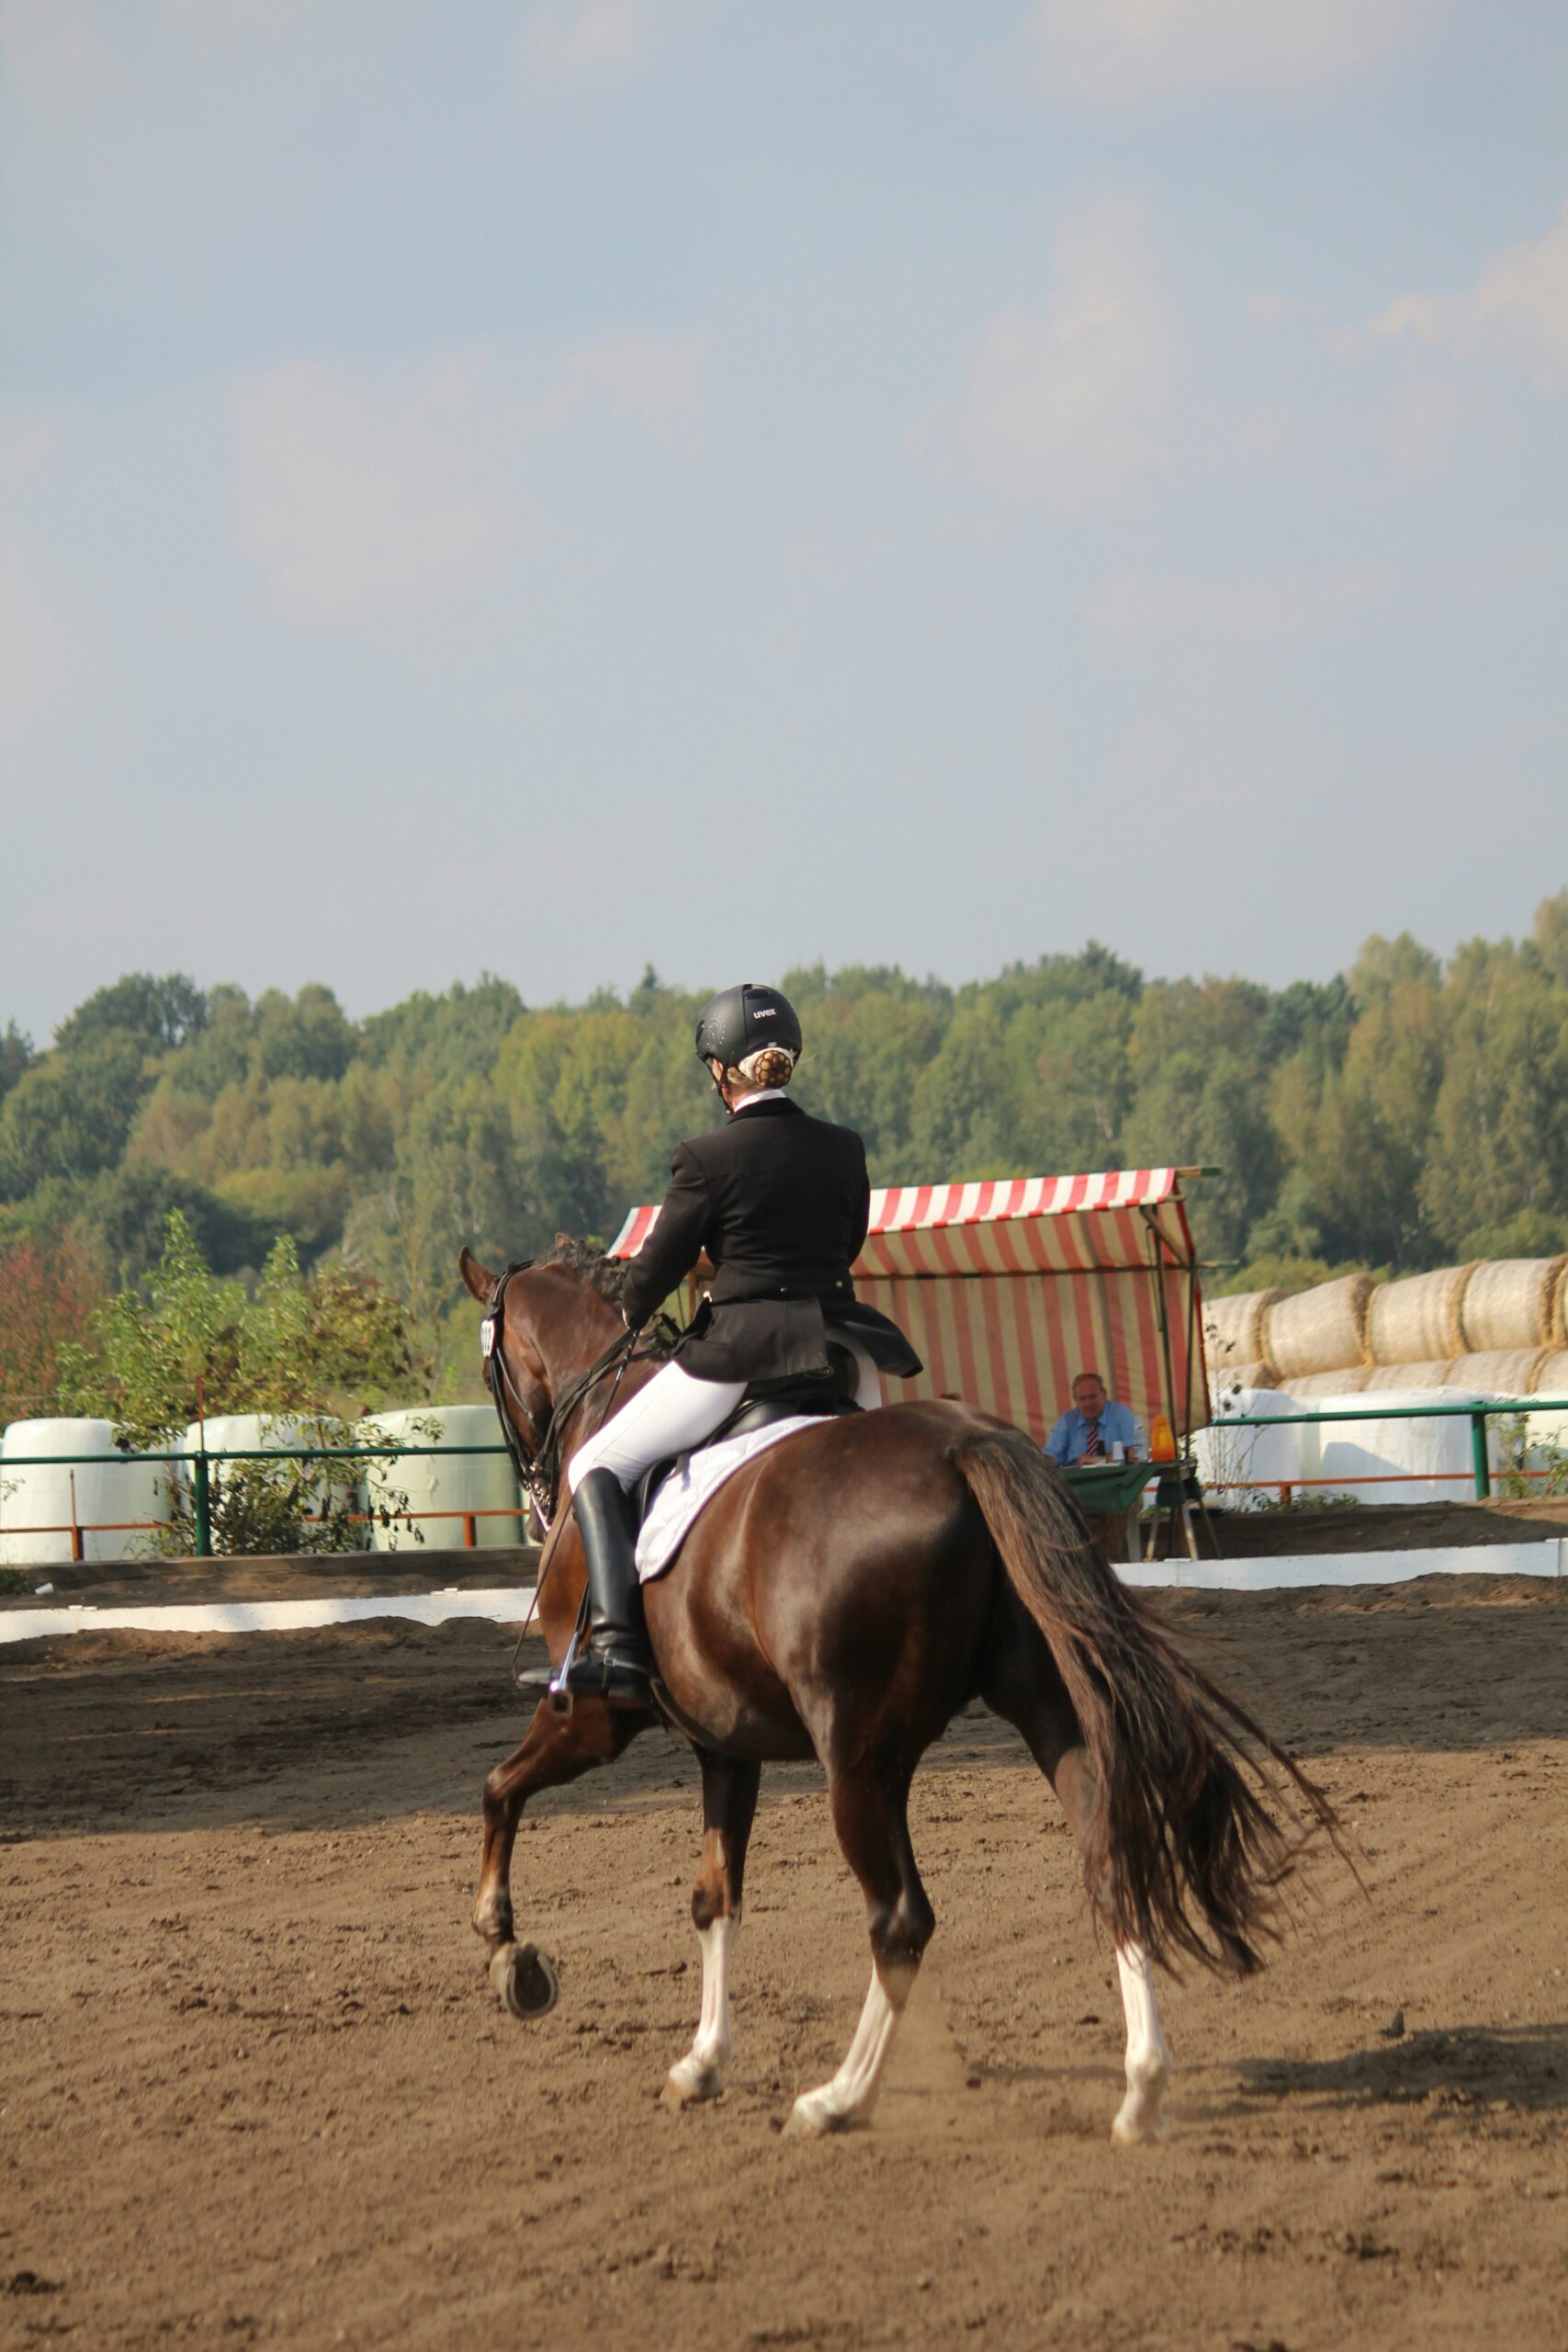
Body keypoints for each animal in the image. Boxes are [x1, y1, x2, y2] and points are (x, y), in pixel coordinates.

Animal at [460, 1241, 1335, 2144]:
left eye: (487, 1364)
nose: (536, 1501)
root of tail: (961, 1449)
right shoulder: (725, 1742)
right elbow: (714, 1899)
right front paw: (700, 2062)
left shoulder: (598, 1716)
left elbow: (499, 1790)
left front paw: (511, 1955)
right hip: (1032, 1713)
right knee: (1107, 1854)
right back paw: (1141, 2089)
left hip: (856, 1761)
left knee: (900, 1919)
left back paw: (837, 2098)